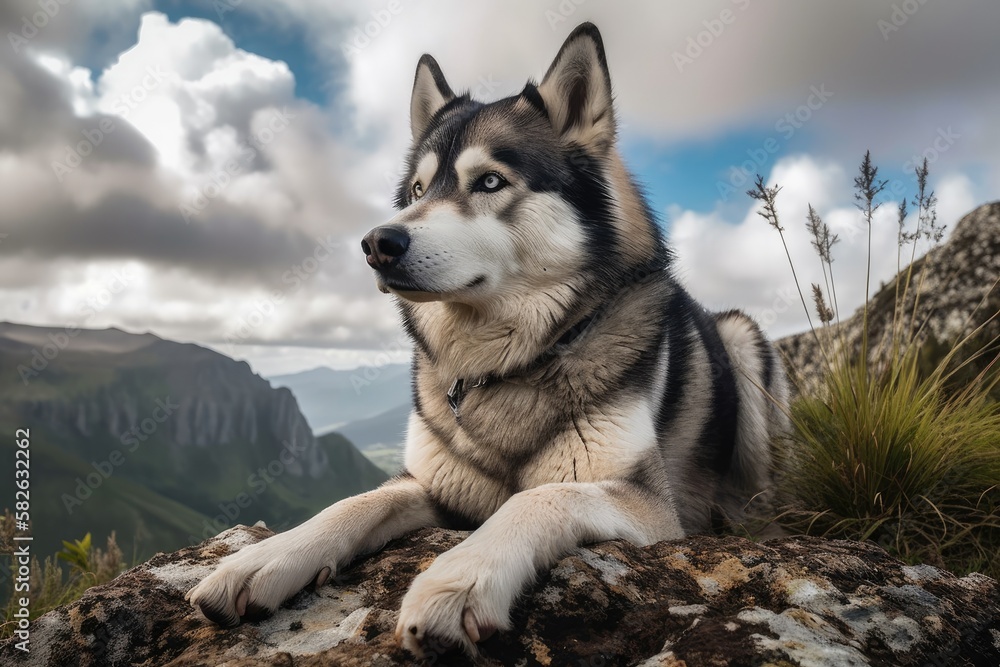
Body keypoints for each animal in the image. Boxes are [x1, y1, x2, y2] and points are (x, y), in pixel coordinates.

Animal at [189, 20, 788, 656]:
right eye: (418, 190)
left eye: (490, 181)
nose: (377, 243)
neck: (500, 363)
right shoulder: (438, 486)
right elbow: (357, 502)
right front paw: (265, 558)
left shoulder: (648, 506)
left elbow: (539, 496)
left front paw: (459, 579)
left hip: (743, 344)